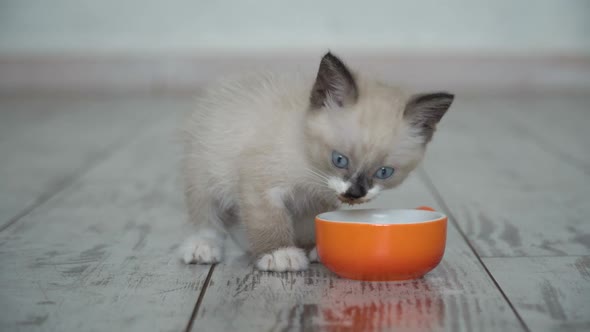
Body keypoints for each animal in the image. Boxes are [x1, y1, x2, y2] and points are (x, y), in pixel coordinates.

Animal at [180, 50, 454, 272]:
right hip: (204, 173)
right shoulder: (260, 186)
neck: (311, 172)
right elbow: (268, 221)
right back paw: (202, 247)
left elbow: (309, 224)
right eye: (339, 159)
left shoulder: (315, 200)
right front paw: (279, 254)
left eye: (384, 172)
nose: (355, 193)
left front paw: (312, 247)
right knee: (206, 216)